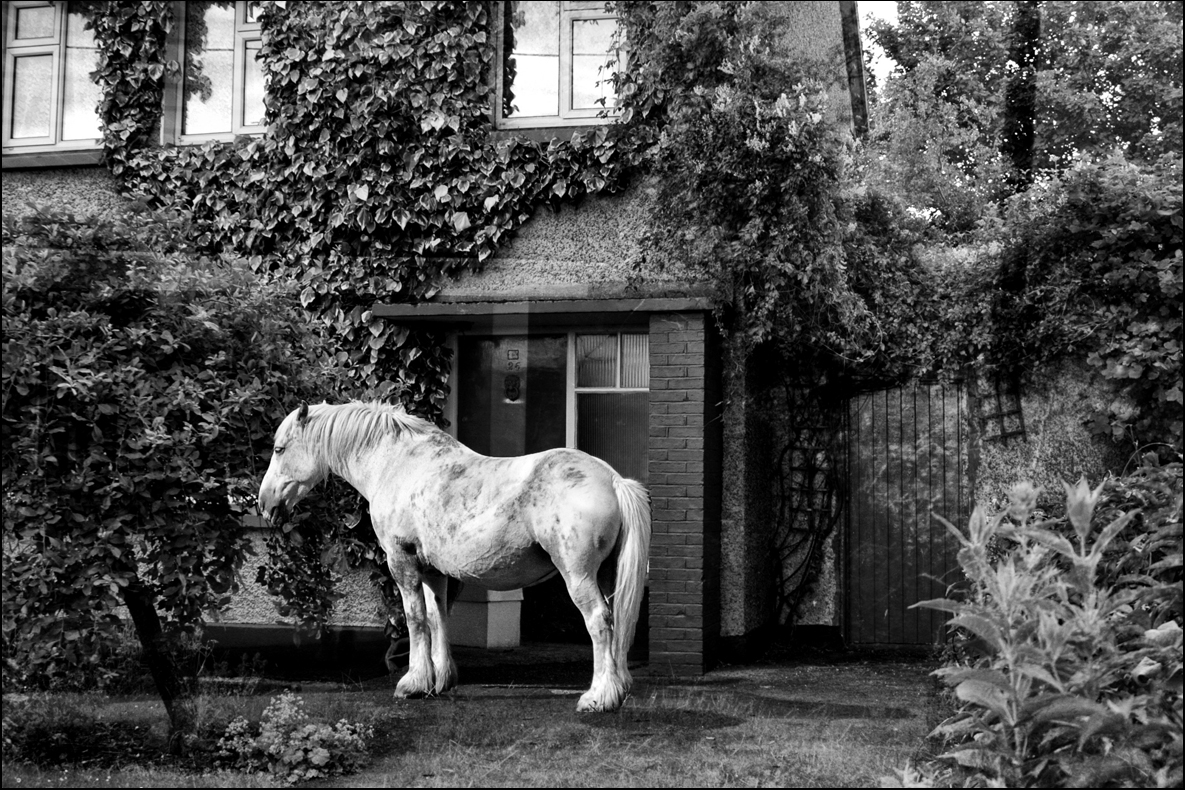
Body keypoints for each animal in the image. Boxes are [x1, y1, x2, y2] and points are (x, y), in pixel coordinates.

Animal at [257, 402, 658, 710]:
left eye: (279, 450)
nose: (264, 504)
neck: (396, 464)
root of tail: (612, 480)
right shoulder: (433, 571)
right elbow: (437, 618)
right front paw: (439, 680)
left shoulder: (401, 561)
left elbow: (415, 619)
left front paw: (413, 682)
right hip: (606, 575)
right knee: (617, 623)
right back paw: (617, 688)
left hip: (578, 576)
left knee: (599, 623)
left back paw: (598, 697)